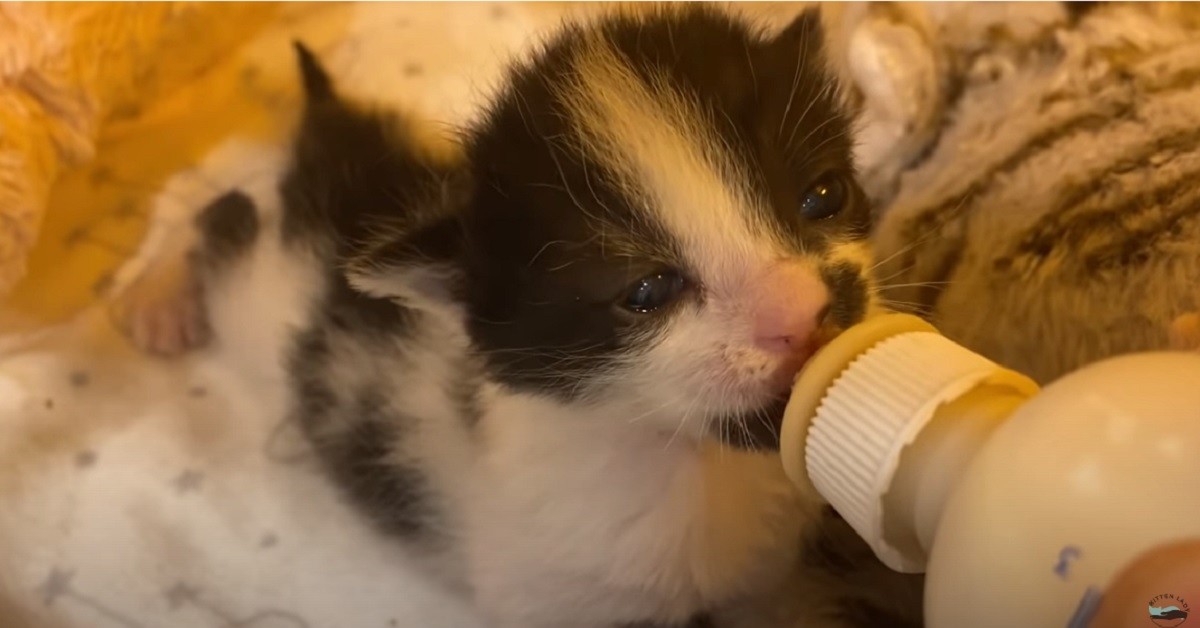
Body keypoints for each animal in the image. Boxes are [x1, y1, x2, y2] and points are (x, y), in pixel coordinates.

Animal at [117, 6, 912, 628]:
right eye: (647, 291)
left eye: (822, 196)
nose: (806, 311)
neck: (695, 468)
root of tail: (327, 147)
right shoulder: (553, 596)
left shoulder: (762, 579)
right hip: (252, 291)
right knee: (217, 197)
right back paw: (161, 292)